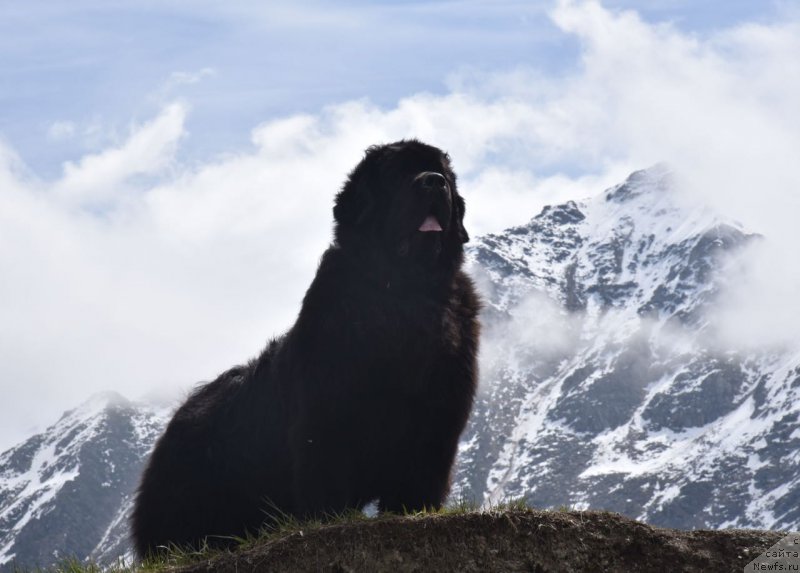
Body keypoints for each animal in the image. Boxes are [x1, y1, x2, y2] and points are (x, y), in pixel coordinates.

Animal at [132, 139, 482, 556]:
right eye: (398, 172)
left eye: (442, 173)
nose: (433, 183)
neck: (407, 294)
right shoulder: (328, 410)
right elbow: (326, 467)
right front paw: (330, 519)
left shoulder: (438, 416)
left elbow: (421, 473)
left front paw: (413, 511)